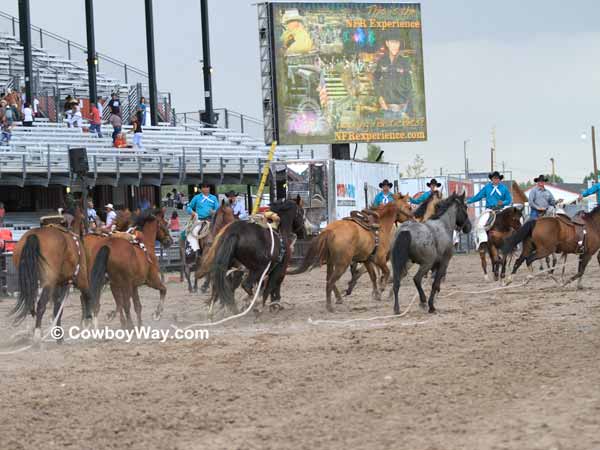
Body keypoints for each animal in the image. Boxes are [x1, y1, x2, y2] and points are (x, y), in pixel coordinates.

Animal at [10, 209, 102, 342]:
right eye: (86, 218)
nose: (85, 234)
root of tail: (33, 236)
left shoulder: (59, 284)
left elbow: (58, 307)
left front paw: (59, 336)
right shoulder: (81, 280)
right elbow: (87, 296)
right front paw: (91, 322)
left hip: (32, 282)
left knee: (32, 306)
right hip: (49, 283)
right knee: (41, 305)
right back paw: (37, 337)